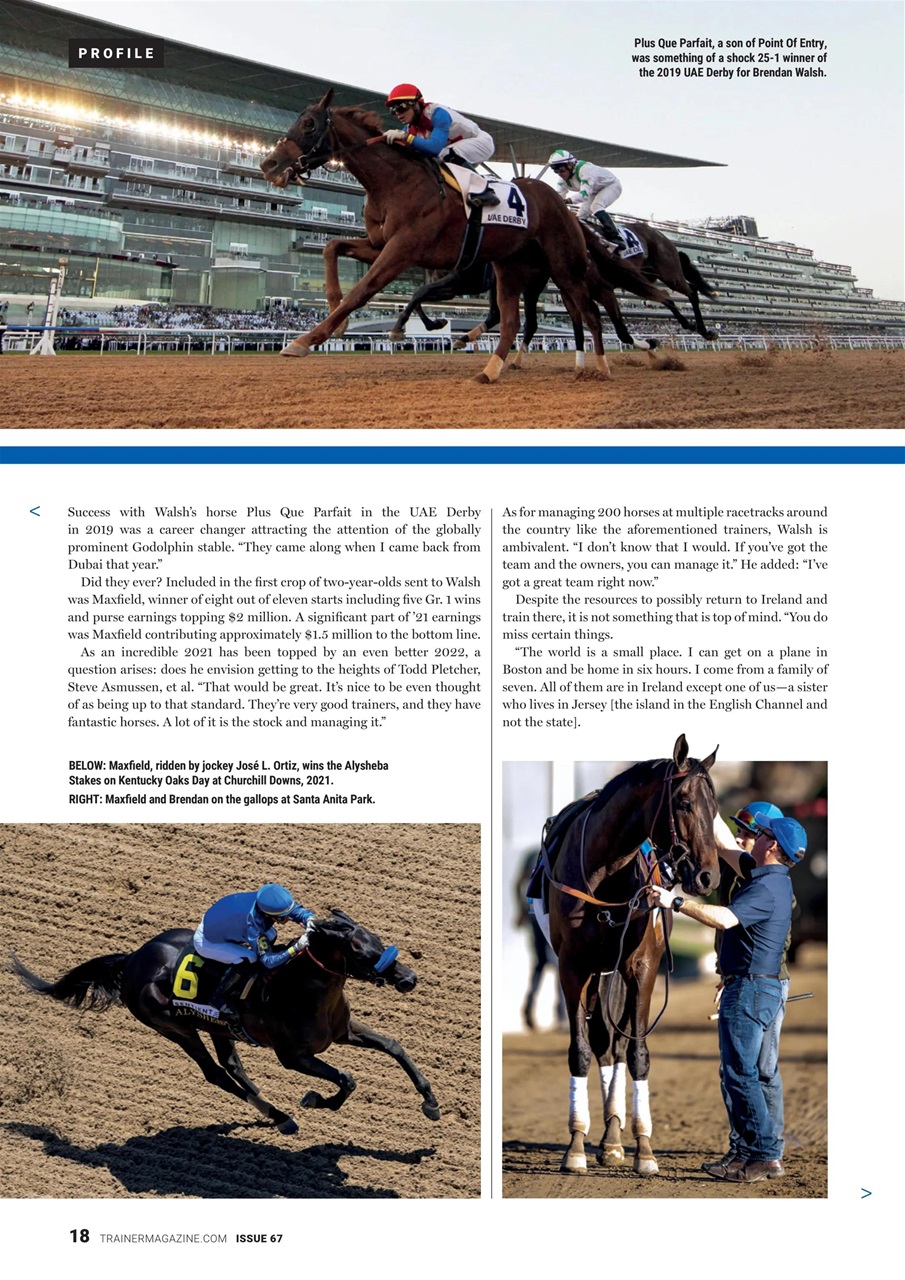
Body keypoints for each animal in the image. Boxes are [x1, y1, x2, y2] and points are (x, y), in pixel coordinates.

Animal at [12, 907, 440, 1134]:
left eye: (379, 940)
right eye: (360, 952)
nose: (408, 978)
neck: (299, 989)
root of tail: (132, 959)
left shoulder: (342, 1032)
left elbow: (394, 1046)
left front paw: (431, 1103)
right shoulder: (294, 1057)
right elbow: (347, 1080)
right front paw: (316, 1100)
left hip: (217, 1026)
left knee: (232, 1064)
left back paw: (269, 1109)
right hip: (175, 1027)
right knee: (215, 1073)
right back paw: (281, 1115)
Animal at [260, 91, 615, 382]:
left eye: (308, 124)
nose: (269, 164)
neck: (394, 182)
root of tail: (564, 206)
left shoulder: (403, 250)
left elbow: (362, 291)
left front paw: (306, 339)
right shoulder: (381, 245)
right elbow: (331, 248)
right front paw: (339, 318)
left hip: (563, 263)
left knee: (589, 312)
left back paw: (599, 367)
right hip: (510, 267)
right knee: (512, 319)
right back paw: (491, 369)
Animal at [538, 734, 720, 1176]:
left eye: (716, 806)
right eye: (684, 802)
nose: (709, 876)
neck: (606, 873)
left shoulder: (641, 968)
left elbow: (637, 1053)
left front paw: (644, 1149)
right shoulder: (573, 968)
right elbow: (581, 1052)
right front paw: (575, 1147)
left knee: (617, 1047)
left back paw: (614, 1139)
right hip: (597, 975)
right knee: (603, 1044)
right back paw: (605, 1138)